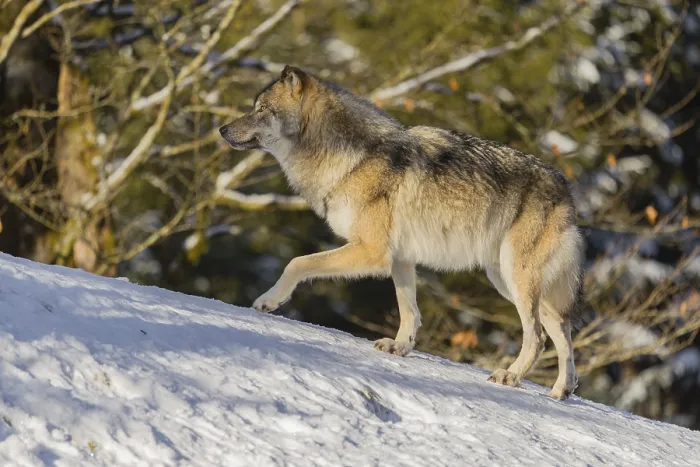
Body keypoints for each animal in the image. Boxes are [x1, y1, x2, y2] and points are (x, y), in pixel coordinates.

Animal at [219, 66, 584, 399]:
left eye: (261, 109)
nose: (222, 129)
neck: (349, 158)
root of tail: (567, 189)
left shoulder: (372, 252)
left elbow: (298, 262)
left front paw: (269, 300)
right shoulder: (400, 259)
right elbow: (409, 311)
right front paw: (400, 347)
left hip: (515, 280)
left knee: (537, 336)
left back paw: (511, 376)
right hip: (511, 283)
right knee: (562, 330)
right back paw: (561, 391)